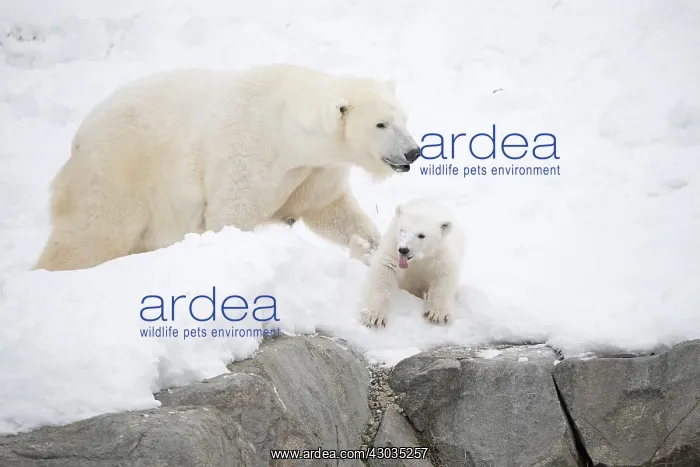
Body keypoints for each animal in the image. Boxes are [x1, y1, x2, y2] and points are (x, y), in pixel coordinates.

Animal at [32, 63, 422, 271]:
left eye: (404, 118)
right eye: (381, 125)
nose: (414, 152)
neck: (288, 131)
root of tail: (80, 136)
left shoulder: (312, 172)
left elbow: (332, 212)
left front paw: (378, 251)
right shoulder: (248, 157)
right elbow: (230, 216)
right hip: (117, 172)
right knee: (91, 233)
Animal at [359, 198, 466, 328]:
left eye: (421, 235)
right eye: (402, 230)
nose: (404, 249)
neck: (418, 258)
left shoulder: (440, 254)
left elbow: (444, 276)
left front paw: (436, 315)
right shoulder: (393, 246)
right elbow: (384, 270)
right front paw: (374, 317)